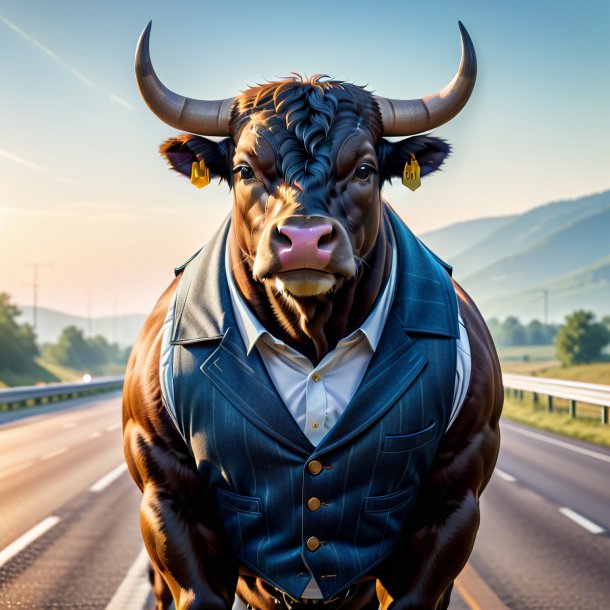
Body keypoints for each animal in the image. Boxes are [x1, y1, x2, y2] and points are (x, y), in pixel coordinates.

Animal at [122, 21, 498, 608]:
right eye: (244, 168)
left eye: (365, 168)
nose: (303, 240)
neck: (313, 335)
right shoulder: (169, 499)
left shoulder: (453, 506)